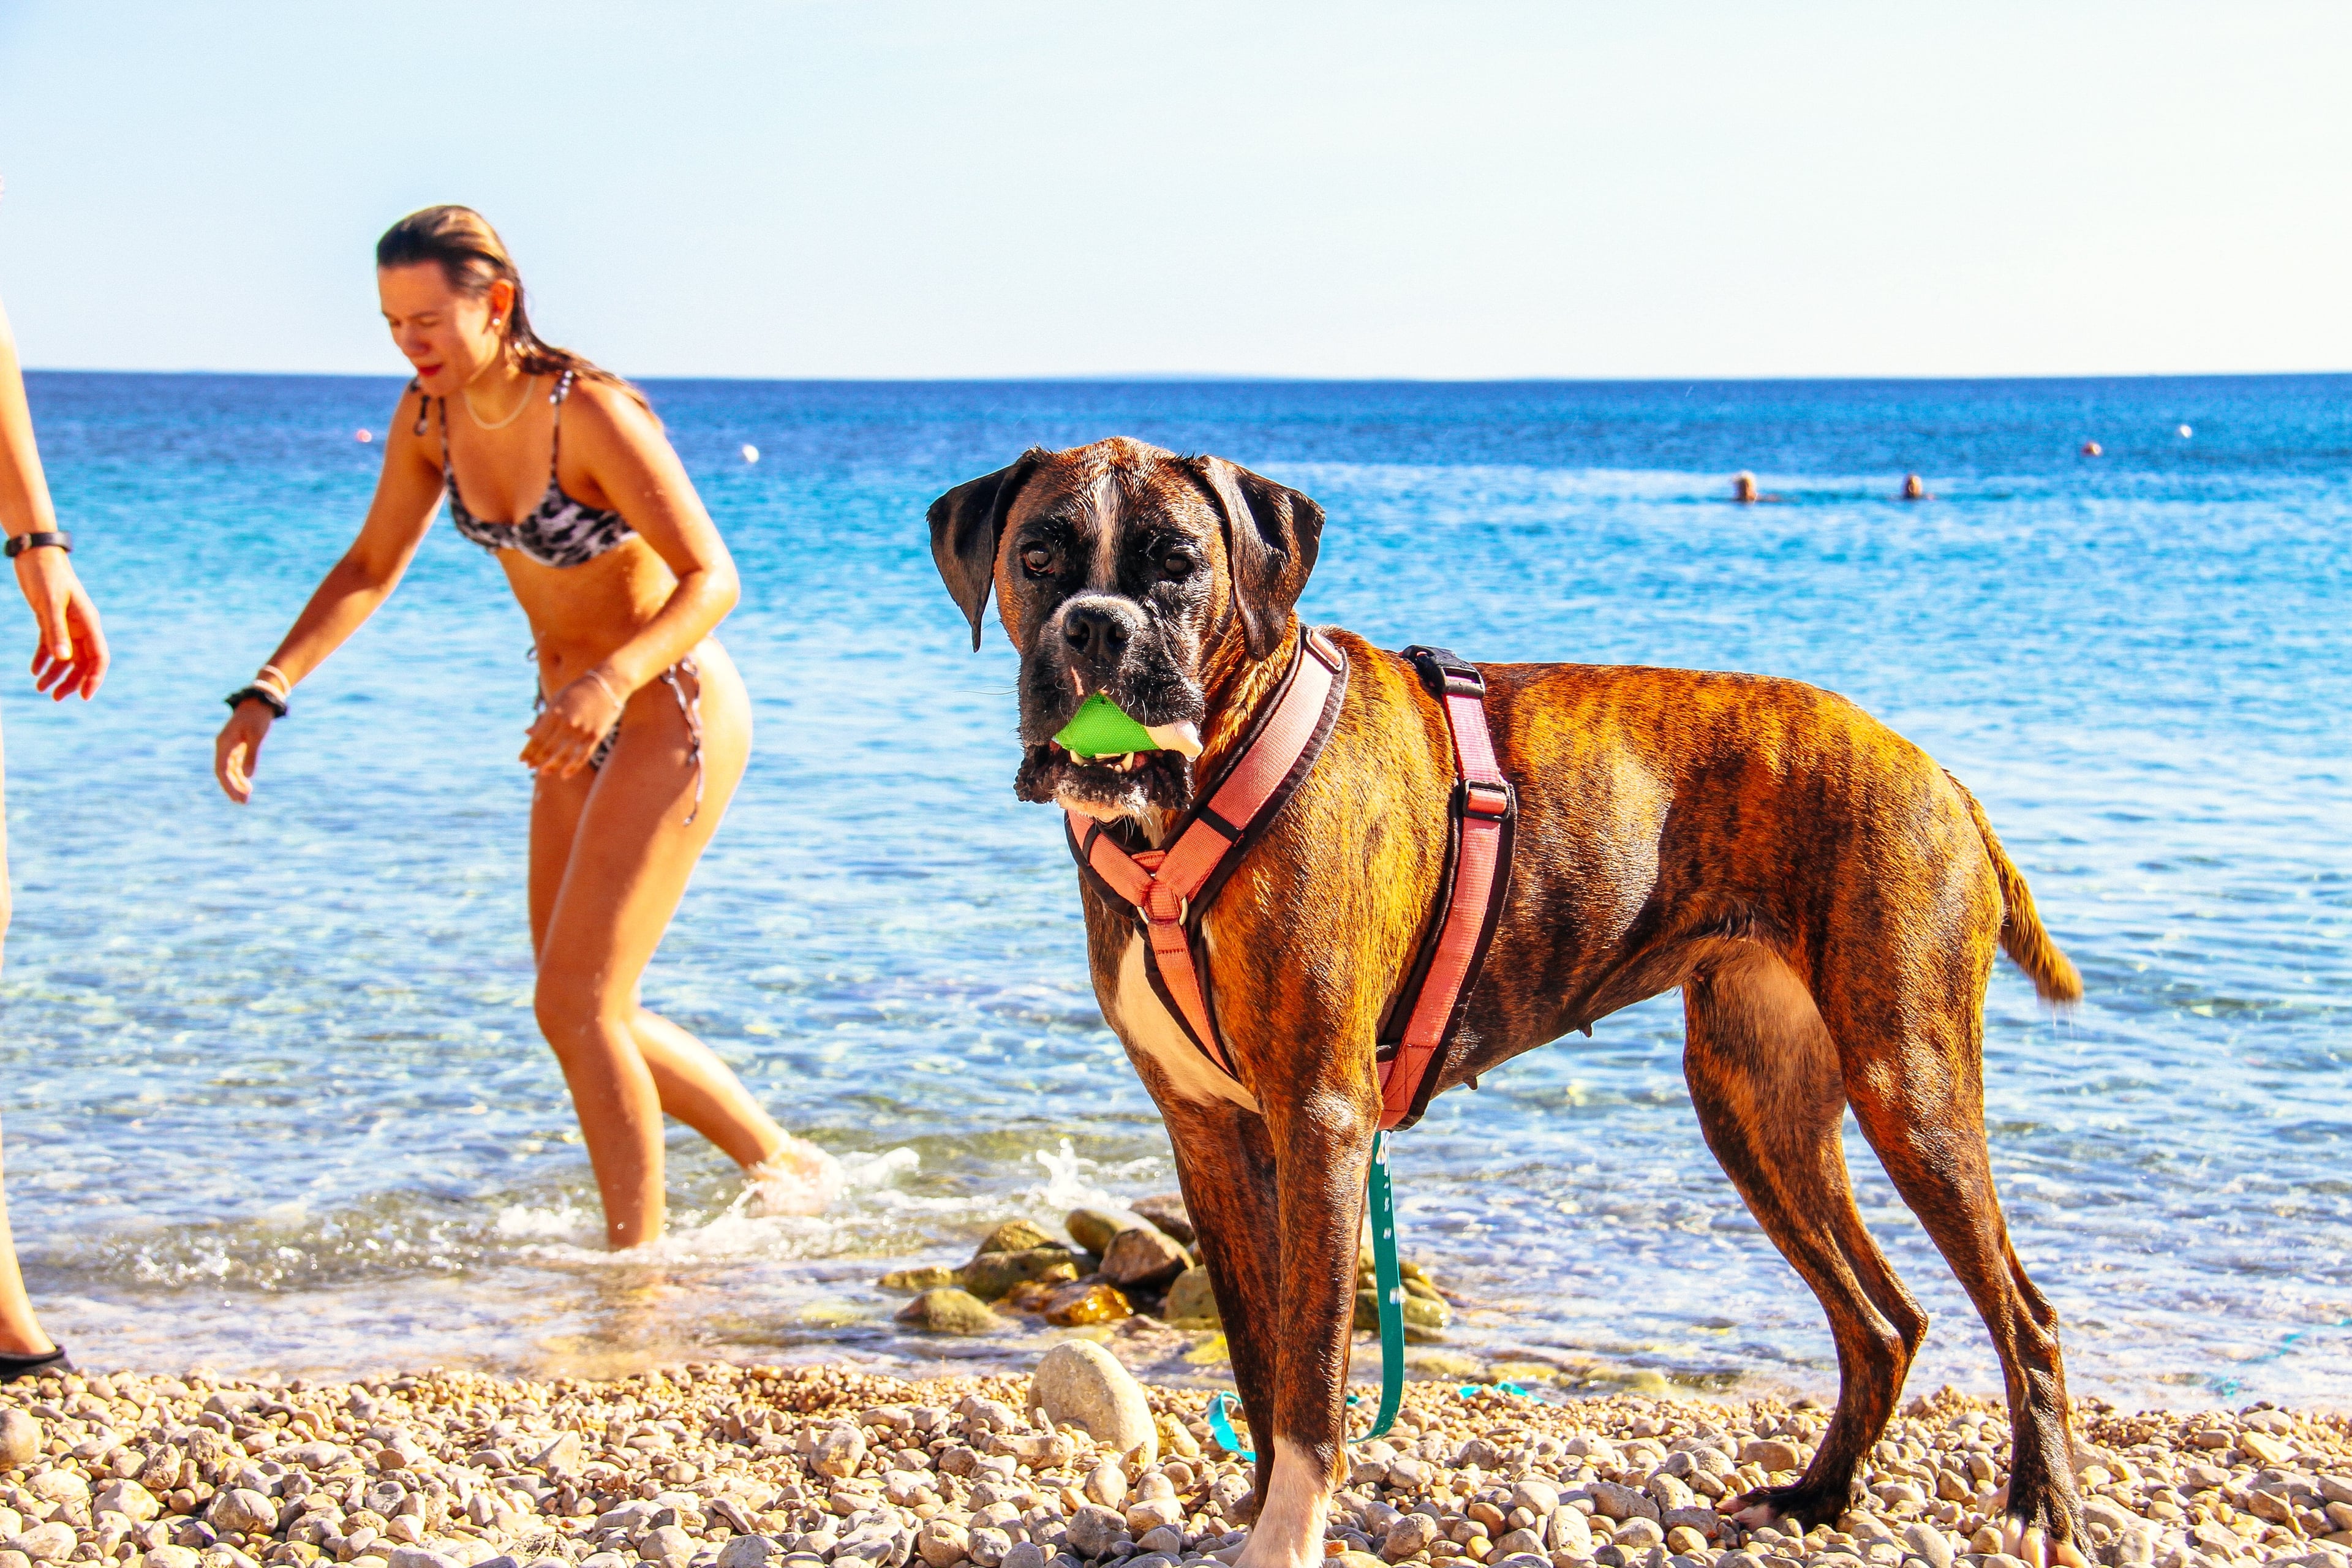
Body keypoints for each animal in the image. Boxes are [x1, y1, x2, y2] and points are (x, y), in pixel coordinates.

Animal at [926, 439, 2088, 1568]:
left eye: (1177, 564)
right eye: (1038, 558)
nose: (1097, 626)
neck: (1194, 797)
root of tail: (1934, 770)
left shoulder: (1320, 1121)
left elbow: (1308, 1379)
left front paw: (1288, 1536)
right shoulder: (1209, 1137)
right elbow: (1258, 1365)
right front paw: (1253, 1519)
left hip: (1910, 1089)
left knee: (2024, 1316)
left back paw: (2042, 1509)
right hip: (1758, 1115)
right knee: (1881, 1324)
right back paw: (1818, 1496)